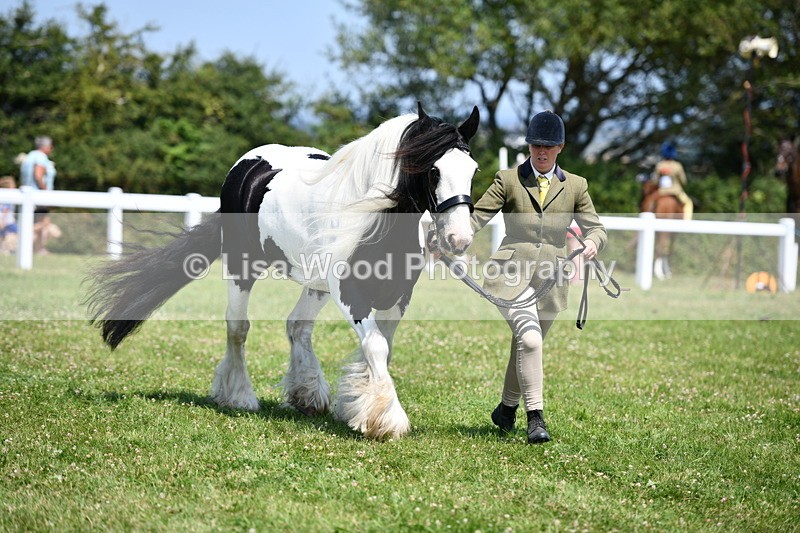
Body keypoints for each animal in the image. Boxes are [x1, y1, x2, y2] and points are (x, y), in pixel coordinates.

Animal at [86, 103, 481, 440]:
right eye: (433, 170)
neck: (374, 218)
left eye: (473, 170)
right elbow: (376, 347)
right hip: (242, 267)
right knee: (238, 327)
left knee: (297, 327)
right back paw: (239, 395)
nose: (459, 239)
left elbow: (381, 348)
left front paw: (359, 406)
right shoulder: (349, 293)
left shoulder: (398, 296)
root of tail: (247, 166)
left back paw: (307, 395)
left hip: (316, 284)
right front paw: (386, 421)